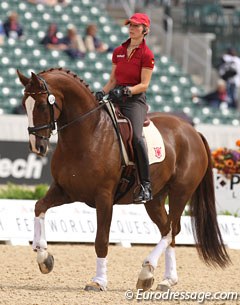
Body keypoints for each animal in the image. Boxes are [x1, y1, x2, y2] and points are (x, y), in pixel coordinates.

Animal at [17, 67, 231, 290]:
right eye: (24, 105)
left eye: (42, 105)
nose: (37, 147)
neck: (88, 132)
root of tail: (193, 131)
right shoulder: (65, 190)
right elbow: (39, 207)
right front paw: (43, 257)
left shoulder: (104, 198)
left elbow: (101, 240)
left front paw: (98, 282)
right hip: (155, 199)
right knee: (167, 230)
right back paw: (165, 279)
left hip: (180, 192)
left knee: (172, 229)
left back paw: (148, 270)